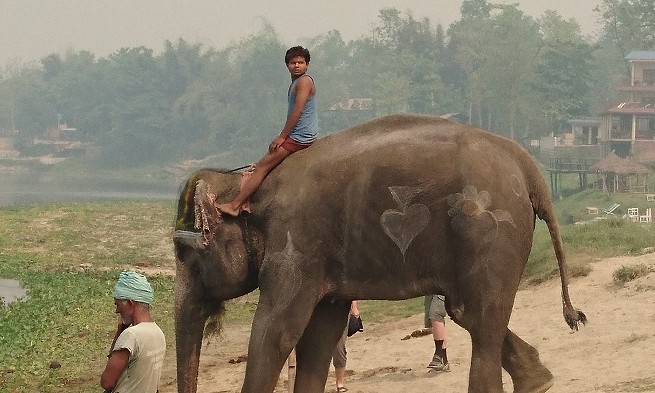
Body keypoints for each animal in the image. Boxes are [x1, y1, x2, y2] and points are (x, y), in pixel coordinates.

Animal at [173, 113, 584, 392]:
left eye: (185, 256)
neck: (241, 184)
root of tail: (528, 165)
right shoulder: (320, 256)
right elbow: (319, 336)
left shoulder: (293, 245)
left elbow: (275, 333)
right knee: (468, 312)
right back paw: (539, 382)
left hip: (489, 231)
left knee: (479, 317)